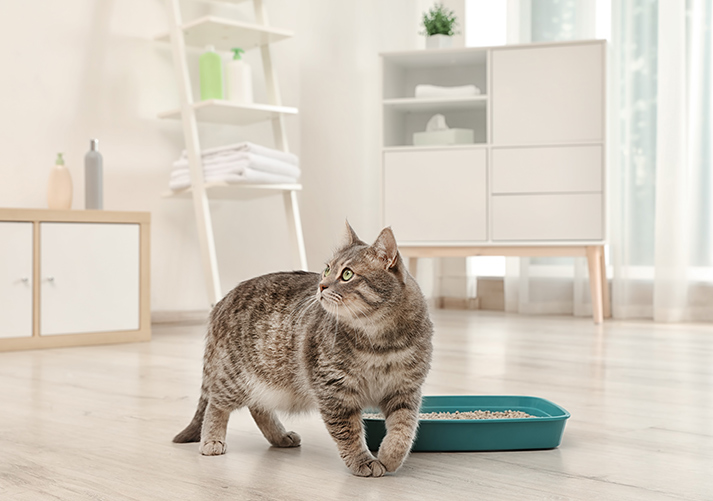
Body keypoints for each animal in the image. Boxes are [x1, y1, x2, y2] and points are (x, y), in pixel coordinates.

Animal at [172, 223, 434, 476]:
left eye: (347, 274)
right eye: (327, 269)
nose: (321, 285)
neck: (381, 342)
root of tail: (222, 301)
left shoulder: (405, 391)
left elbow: (403, 429)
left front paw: (391, 456)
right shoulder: (334, 392)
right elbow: (348, 433)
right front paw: (363, 461)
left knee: (258, 408)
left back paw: (279, 437)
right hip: (235, 378)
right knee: (216, 404)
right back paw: (212, 439)